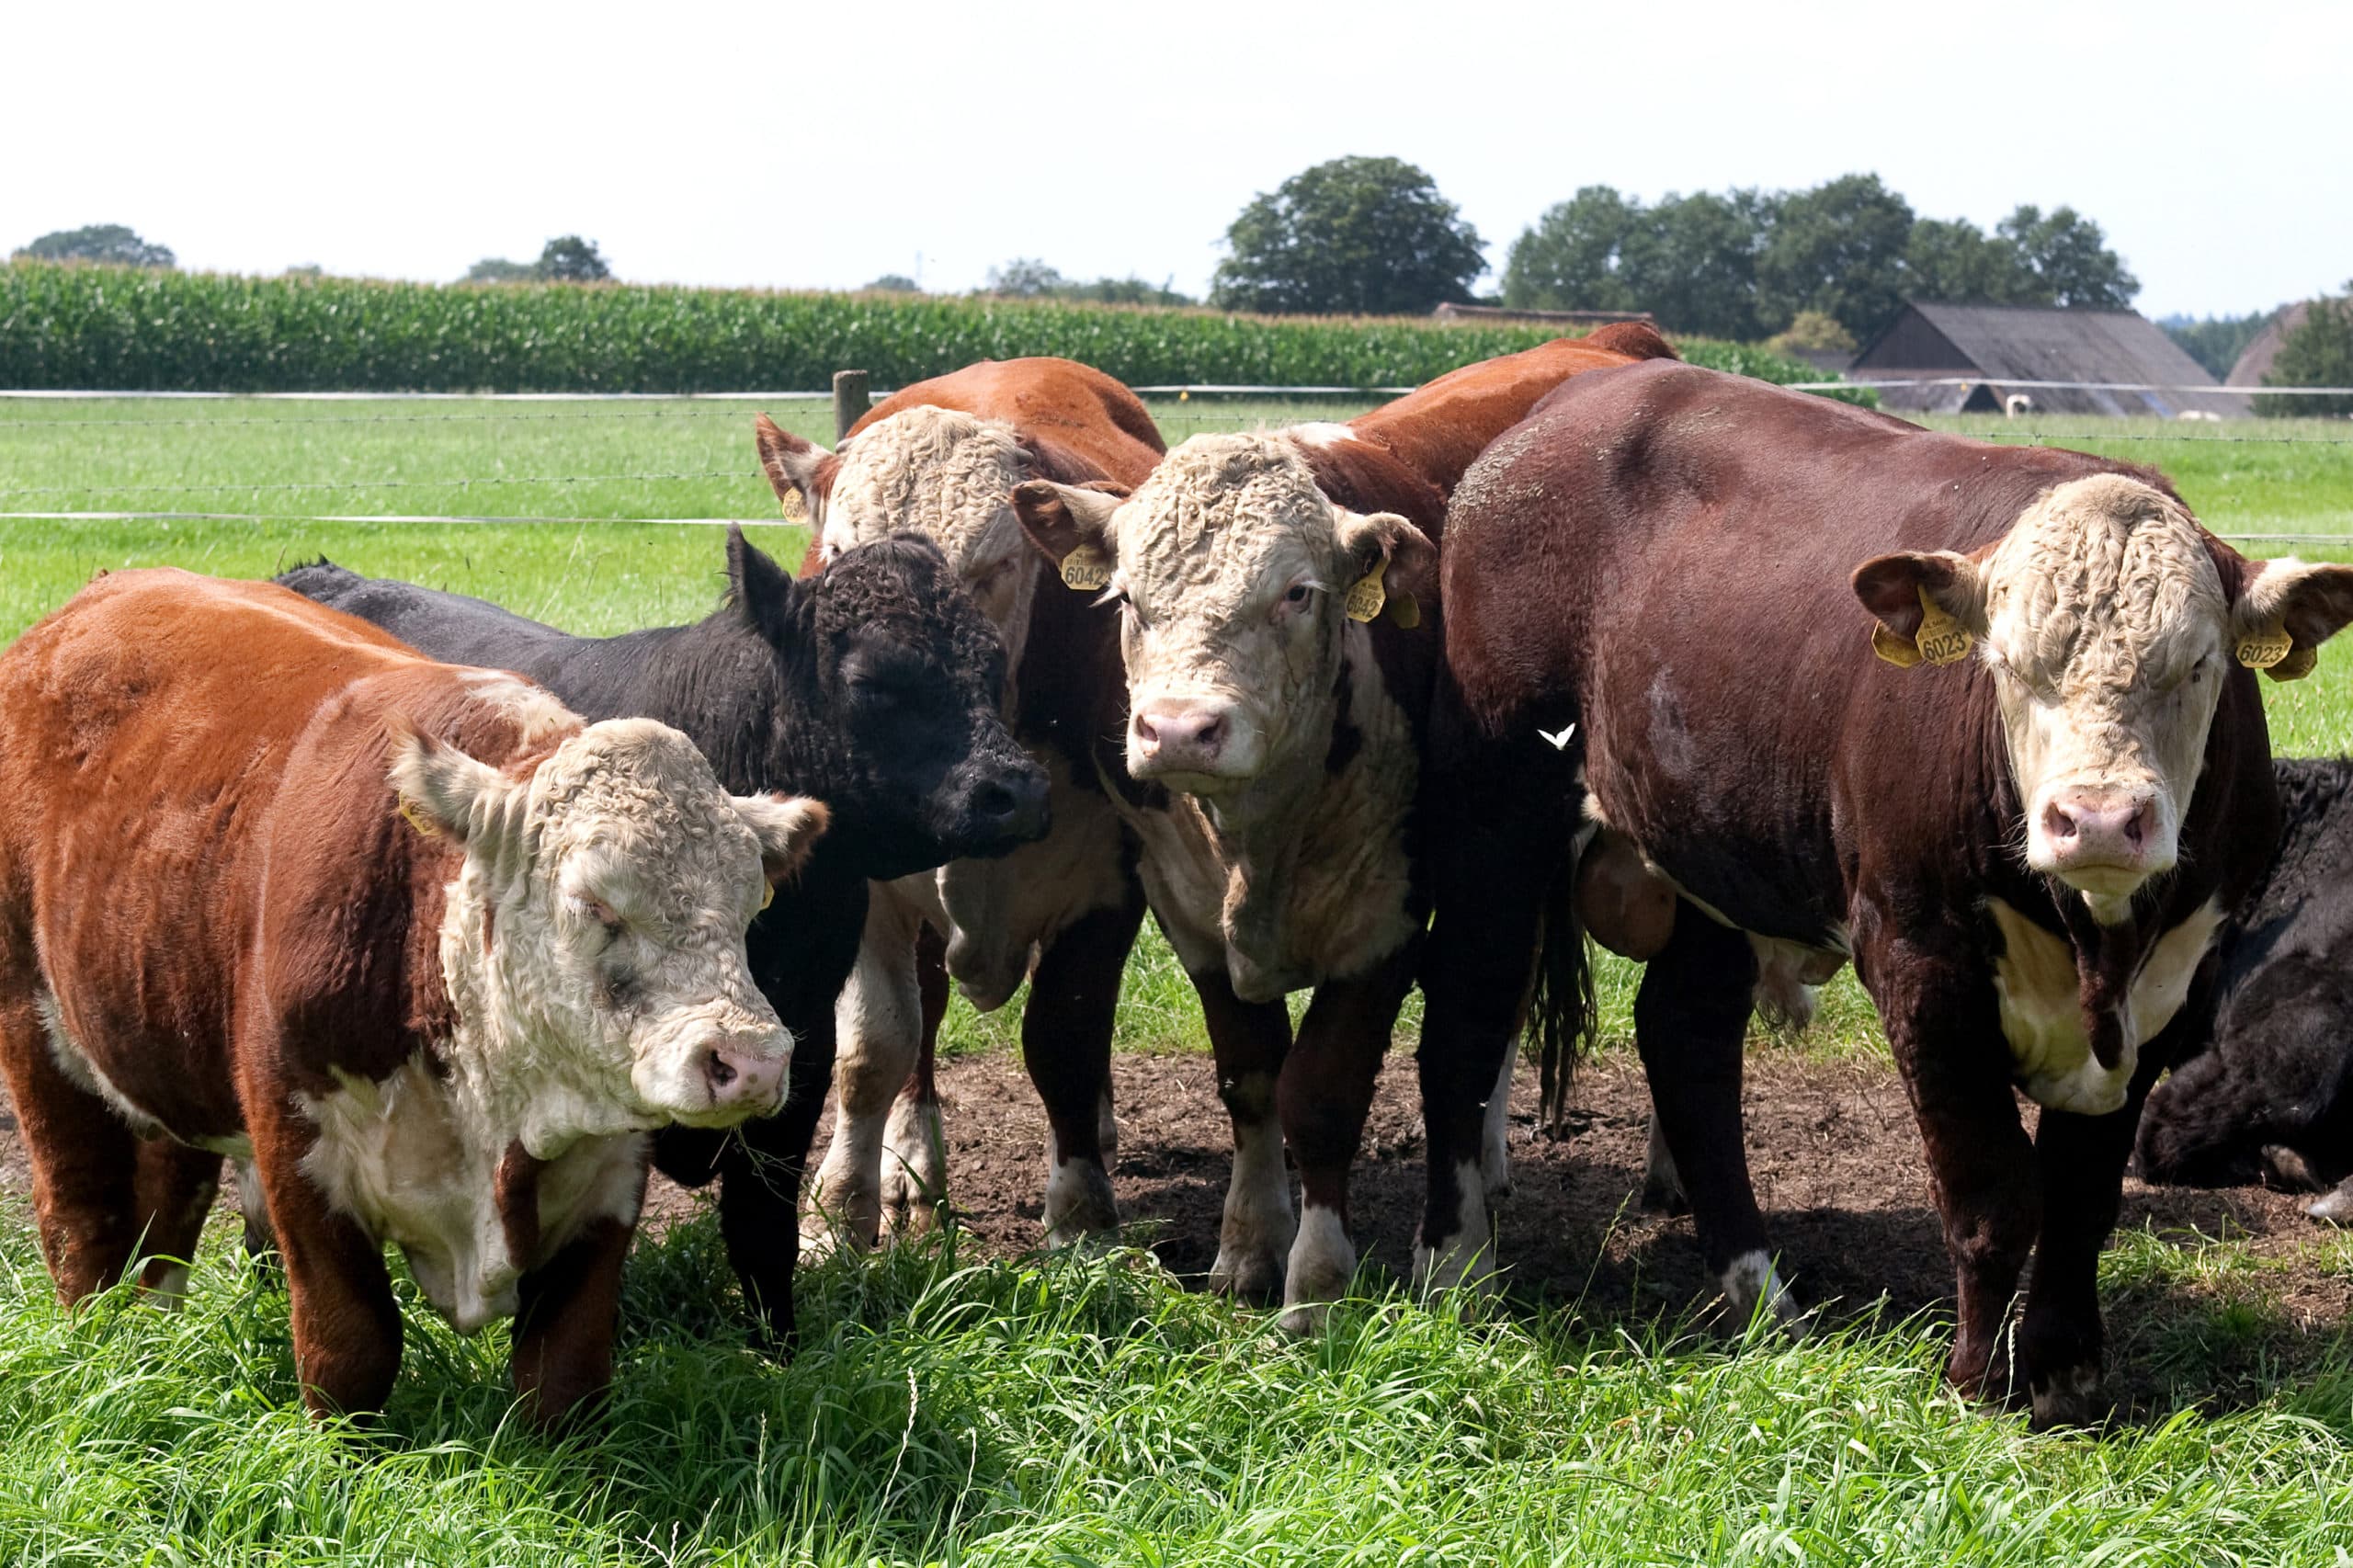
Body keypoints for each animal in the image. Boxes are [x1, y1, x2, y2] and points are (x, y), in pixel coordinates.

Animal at [0, 570, 828, 1422]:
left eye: (749, 906)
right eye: (594, 903)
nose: (751, 1062)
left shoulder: (611, 1172)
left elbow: (564, 1368)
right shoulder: (298, 1148)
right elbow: (352, 1345)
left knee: (167, 1209)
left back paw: (153, 1339)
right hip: (34, 1032)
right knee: (81, 1215)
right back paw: (102, 1349)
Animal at [279, 525, 1045, 1346]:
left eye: (991, 664)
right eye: (872, 679)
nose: (1016, 788)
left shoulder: (800, 1049)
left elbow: (761, 1230)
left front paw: (781, 1352)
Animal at [751, 357, 1165, 1256]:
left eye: (995, 567)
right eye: (841, 556)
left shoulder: (1113, 882)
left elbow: (1067, 1040)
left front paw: (1083, 1220)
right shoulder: (865, 887)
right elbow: (874, 1047)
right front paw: (841, 1210)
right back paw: (910, 1166)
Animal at [1009, 324, 1676, 1329]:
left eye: (1297, 592)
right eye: (1125, 598)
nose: (1178, 729)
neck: (1262, 837)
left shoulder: (1384, 921)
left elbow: (1324, 1092)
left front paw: (1317, 1285)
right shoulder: (1188, 910)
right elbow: (1251, 1074)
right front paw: (1249, 1246)